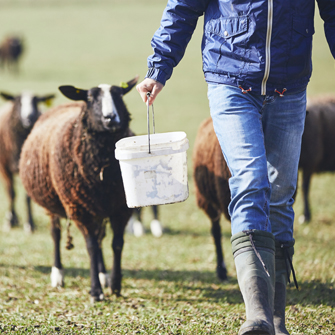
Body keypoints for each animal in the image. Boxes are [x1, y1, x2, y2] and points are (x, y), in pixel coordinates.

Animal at [0, 92, 55, 234]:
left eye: (35, 102)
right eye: (18, 102)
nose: (28, 117)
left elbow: (27, 198)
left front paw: (30, 224)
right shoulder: (5, 168)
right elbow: (11, 193)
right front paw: (10, 221)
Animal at [19, 77, 138, 304]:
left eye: (119, 95)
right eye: (90, 98)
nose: (111, 118)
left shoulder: (121, 207)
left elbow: (117, 244)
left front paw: (115, 285)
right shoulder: (80, 208)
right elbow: (90, 246)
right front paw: (96, 291)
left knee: (100, 238)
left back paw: (103, 274)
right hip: (55, 202)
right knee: (56, 233)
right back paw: (58, 274)